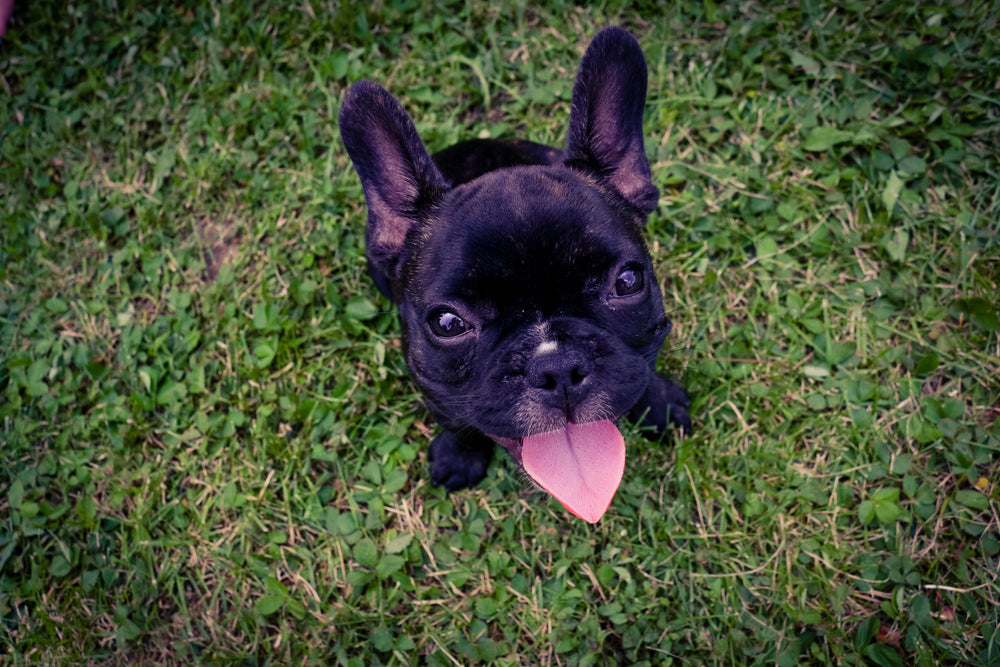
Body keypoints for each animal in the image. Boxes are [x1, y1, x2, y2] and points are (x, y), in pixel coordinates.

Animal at [340, 28, 692, 524]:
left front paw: (658, 404)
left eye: (627, 282)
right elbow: (455, 422)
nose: (557, 365)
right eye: (447, 324)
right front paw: (459, 457)